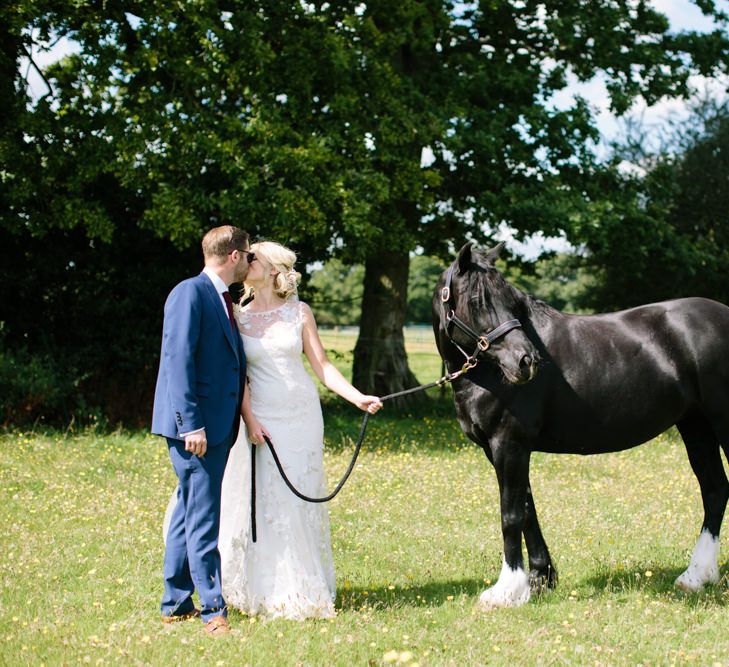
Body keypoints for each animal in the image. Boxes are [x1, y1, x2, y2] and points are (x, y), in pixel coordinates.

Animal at [432, 241, 728, 612]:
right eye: (476, 301)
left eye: (510, 301)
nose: (526, 361)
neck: (487, 374)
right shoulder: (501, 448)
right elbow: (527, 509)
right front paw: (539, 580)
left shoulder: (509, 444)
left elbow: (510, 514)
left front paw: (505, 591)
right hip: (697, 426)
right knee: (715, 490)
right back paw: (696, 576)